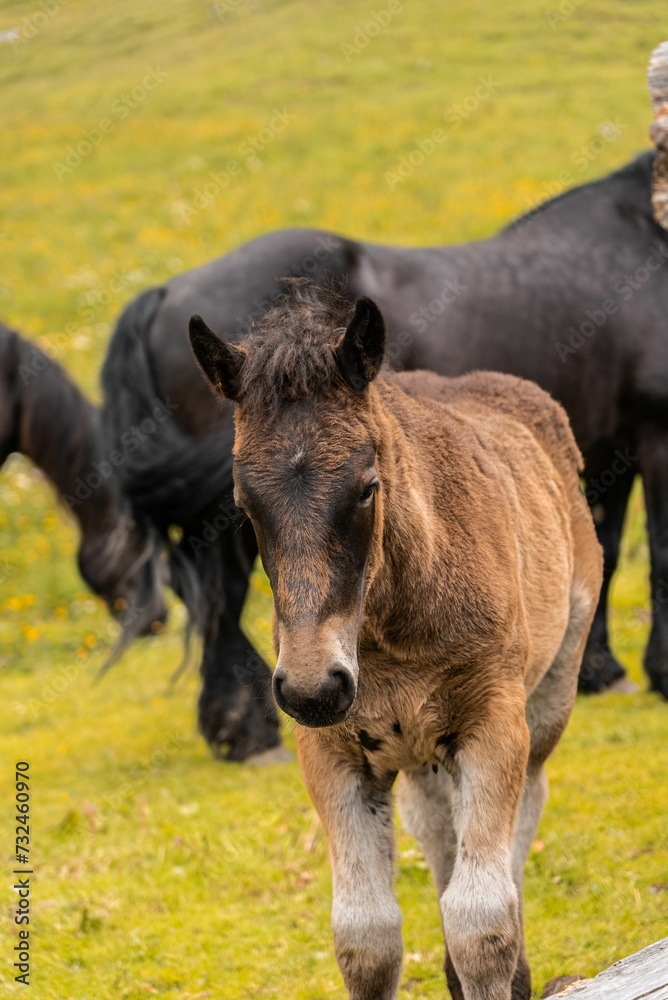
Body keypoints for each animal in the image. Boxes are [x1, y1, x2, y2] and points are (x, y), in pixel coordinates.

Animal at [100, 145, 668, 760]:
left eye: (370, 490)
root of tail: (161, 294)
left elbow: (606, 550)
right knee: (220, 596)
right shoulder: (656, 436)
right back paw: (248, 732)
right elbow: (659, 551)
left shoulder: (612, 453)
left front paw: (599, 669)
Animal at [189, 282, 604, 1000]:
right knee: (438, 824)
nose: (312, 688)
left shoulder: (494, 722)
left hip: (549, 694)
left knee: (522, 809)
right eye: (244, 503)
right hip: (419, 748)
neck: (385, 635)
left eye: (366, 487)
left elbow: (481, 921)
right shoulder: (331, 750)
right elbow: (366, 934)